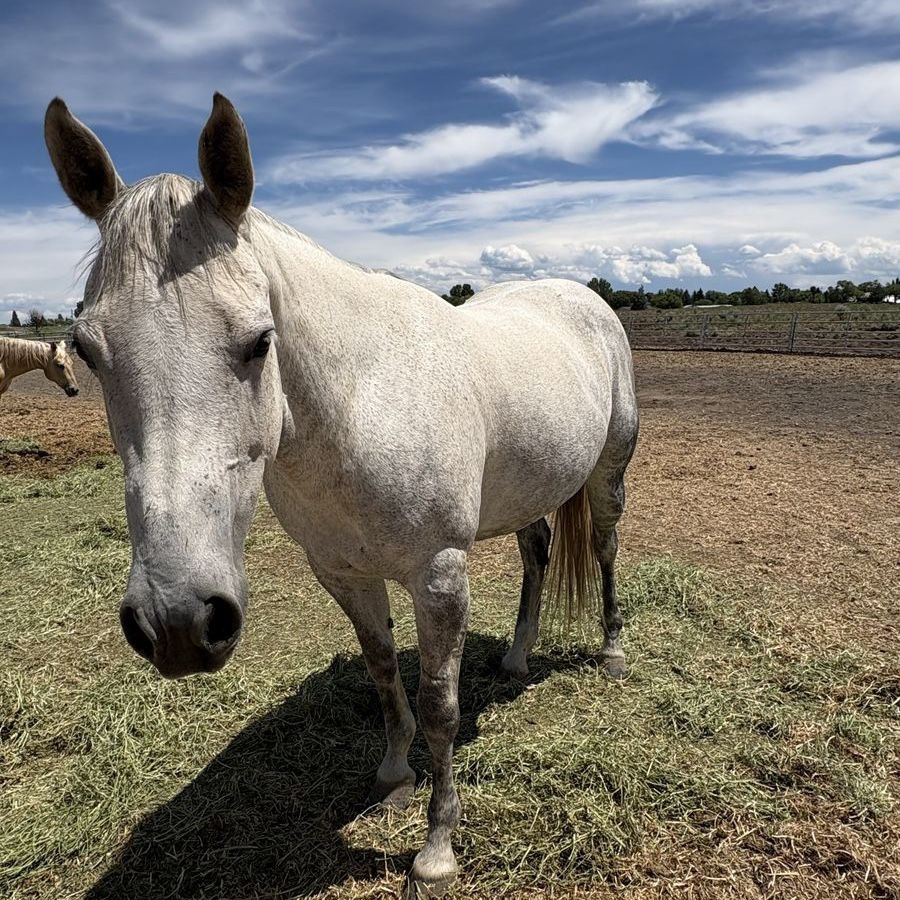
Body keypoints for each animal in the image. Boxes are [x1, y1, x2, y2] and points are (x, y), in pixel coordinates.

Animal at [45, 93, 639, 898]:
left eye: (260, 341)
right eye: (86, 349)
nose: (177, 622)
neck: (362, 403)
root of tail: (585, 297)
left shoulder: (439, 575)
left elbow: (440, 704)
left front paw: (436, 848)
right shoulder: (342, 573)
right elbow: (385, 673)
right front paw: (392, 778)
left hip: (608, 474)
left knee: (603, 548)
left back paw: (611, 652)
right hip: (528, 487)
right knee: (537, 553)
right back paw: (517, 660)